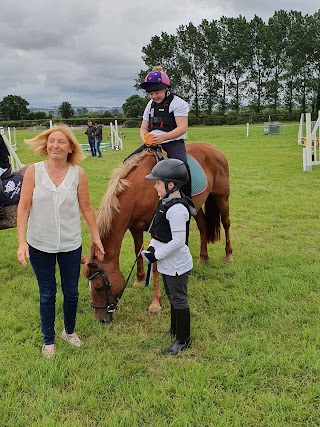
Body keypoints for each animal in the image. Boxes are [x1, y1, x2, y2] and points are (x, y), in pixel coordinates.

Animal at [82, 144, 232, 324]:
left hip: (221, 197)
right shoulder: (134, 227)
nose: (101, 320)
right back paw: (203, 258)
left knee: (226, 224)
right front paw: (139, 280)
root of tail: (213, 148)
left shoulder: (156, 231)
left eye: (98, 287)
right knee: (203, 227)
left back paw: (228, 255)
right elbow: (138, 251)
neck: (140, 188)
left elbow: (154, 265)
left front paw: (155, 303)